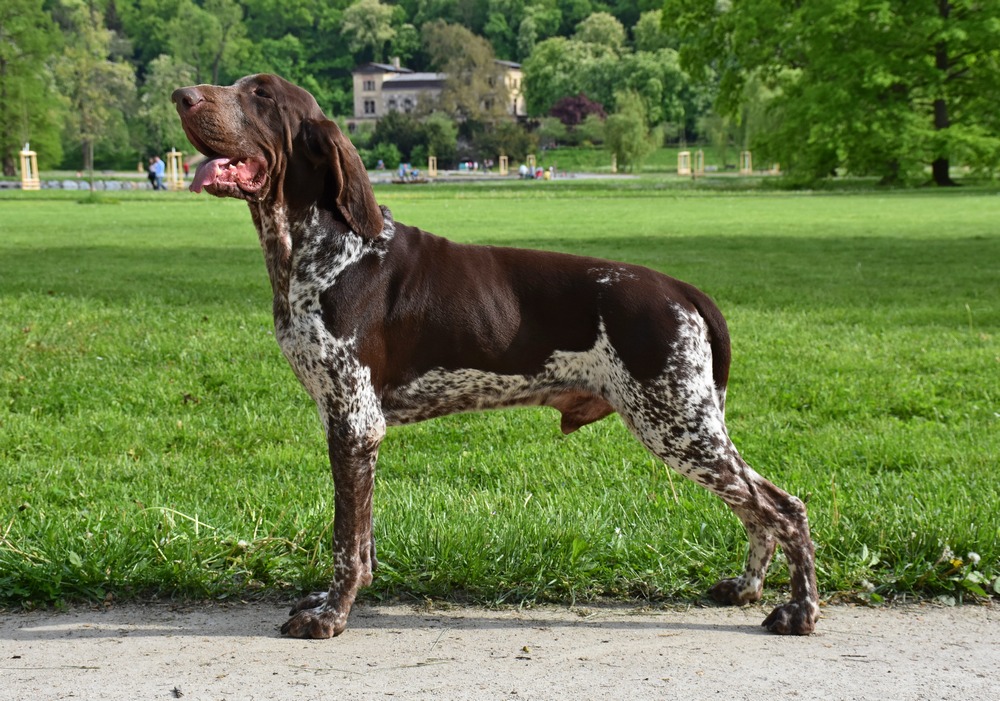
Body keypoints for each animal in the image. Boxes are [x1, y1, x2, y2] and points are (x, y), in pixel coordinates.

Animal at [172, 74, 820, 636]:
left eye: (260, 95)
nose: (180, 95)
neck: (327, 252)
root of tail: (680, 289)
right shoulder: (351, 426)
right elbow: (362, 538)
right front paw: (335, 602)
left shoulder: (354, 423)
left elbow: (345, 544)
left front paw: (332, 615)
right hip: (687, 424)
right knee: (758, 508)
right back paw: (746, 588)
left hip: (676, 424)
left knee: (784, 507)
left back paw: (799, 611)